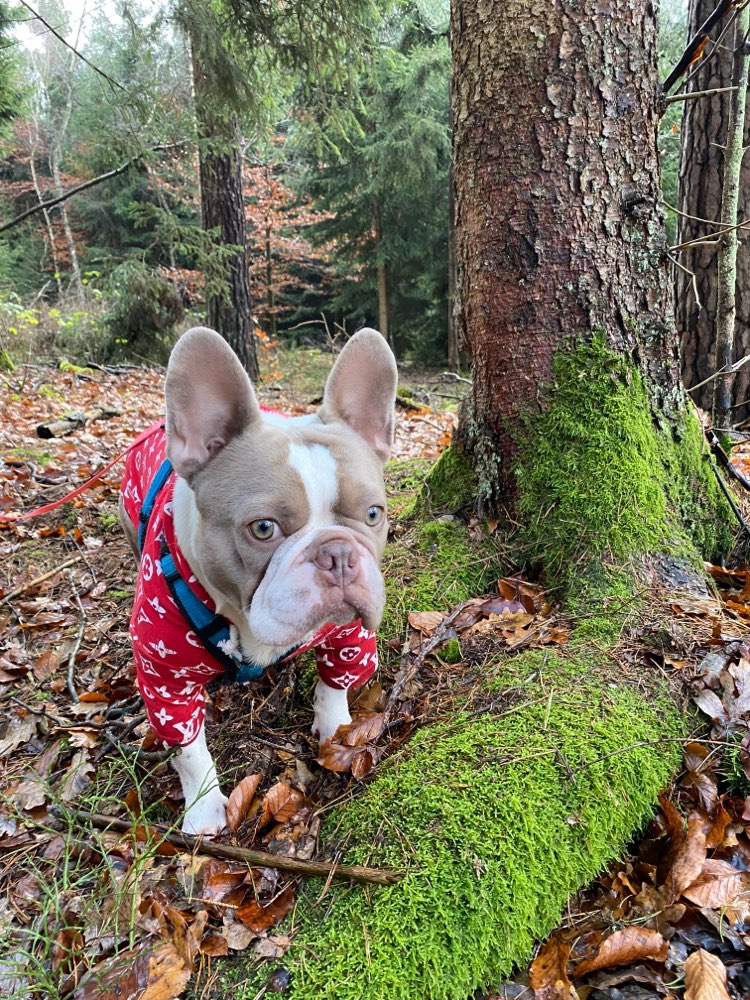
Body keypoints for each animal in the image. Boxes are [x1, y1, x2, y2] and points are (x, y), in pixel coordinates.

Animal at [119, 328, 400, 836]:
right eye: (263, 528)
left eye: (373, 515)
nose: (338, 554)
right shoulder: (166, 679)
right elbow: (189, 748)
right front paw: (204, 810)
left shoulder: (349, 635)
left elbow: (336, 682)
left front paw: (335, 731)